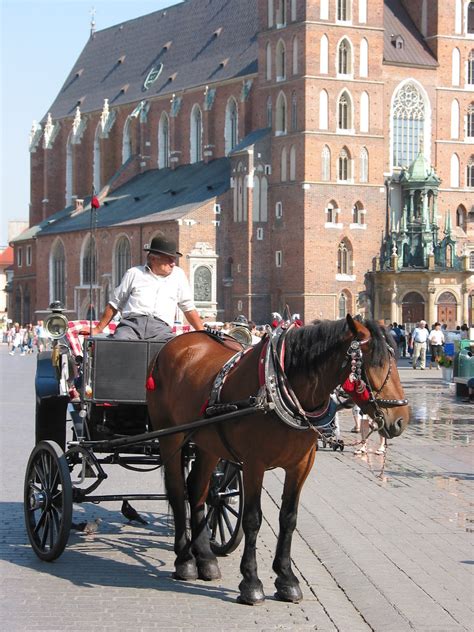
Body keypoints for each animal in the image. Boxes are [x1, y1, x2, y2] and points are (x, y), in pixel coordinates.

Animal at [146, 314, 410, 604]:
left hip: (208, 444)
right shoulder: (253, 464)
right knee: (177, 491)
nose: (401, 420)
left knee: (198, 490)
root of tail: (177, 343)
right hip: (171, 436)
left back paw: (205, 559)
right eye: (375, 363)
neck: (280, 390)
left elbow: (289, 517)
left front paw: (286, 578)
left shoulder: (301, 465)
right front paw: (251, 583)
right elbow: (252, 519)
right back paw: (185, 561)